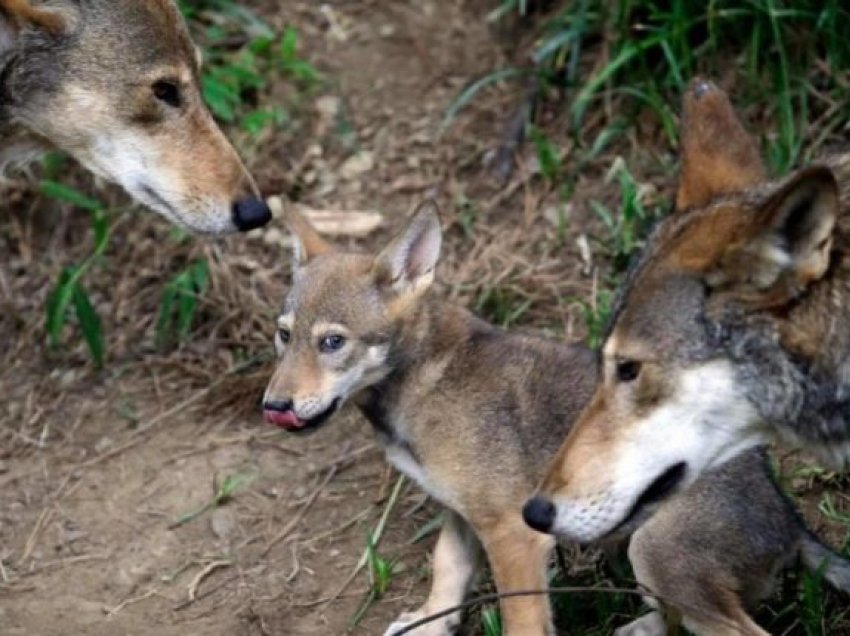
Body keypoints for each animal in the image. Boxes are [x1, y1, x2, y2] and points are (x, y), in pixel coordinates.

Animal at [262, 198, 844, 632]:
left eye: (333, 342)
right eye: (284, 336)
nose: (274, 406)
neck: (424, 379)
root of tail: (789, 519)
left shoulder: (512, 534)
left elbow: (520, 621)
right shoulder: (462, 515)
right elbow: (445, 574)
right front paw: (429, 623)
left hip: (654, 554)